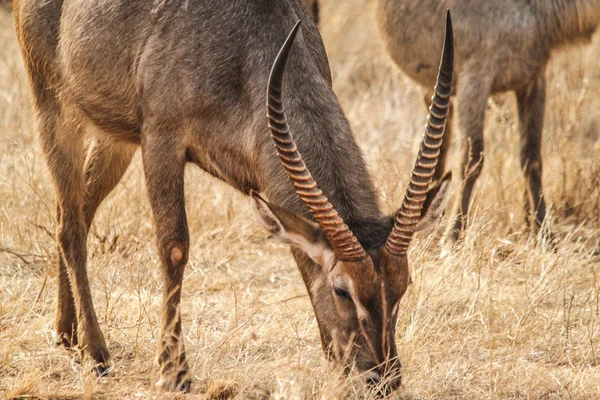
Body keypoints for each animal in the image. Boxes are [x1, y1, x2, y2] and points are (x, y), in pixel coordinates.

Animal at [12, 0, 454, 394]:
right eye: (342, 289)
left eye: (403, 284)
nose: (384, 378)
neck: (248, 45)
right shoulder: (161, 139)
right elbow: (174, 247)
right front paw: (174, 373)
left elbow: (299, 255)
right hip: (54, 109)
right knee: (69, 223)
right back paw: (97, 353)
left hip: (114, 136)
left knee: (79, 213)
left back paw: (68, 334)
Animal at [376, 0, 600, 250]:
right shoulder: (475, 81)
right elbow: (472, 161)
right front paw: (453, 237)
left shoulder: (533, 81)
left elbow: (532, 158)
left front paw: (543, 234)